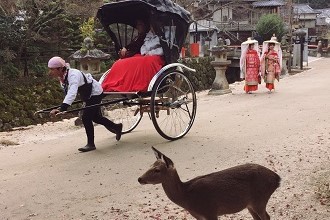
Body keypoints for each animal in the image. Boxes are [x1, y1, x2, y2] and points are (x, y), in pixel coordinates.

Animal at [137, 147, 282, 219]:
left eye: (157, 170)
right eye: (150, 165)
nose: (139, 179)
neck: (187, 198)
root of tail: (277, 178)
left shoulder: (210, 210)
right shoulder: (199, 216)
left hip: (260, 199)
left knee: (266, 217)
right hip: (250, 204)